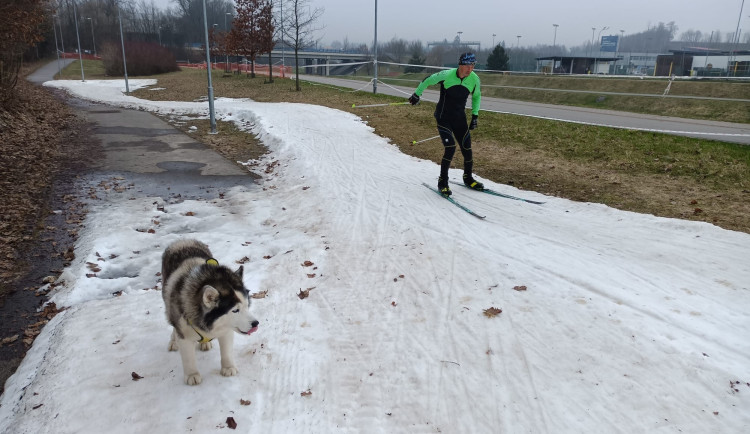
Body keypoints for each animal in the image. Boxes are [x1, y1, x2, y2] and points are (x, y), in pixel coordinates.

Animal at [161, 239, 258, 384]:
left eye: (247, 305)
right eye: (235, 310)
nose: (256, 323)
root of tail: (183, 240)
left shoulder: (226, 330)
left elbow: (226, 351)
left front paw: (228, 367)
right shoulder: (184, 332)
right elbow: (188, 357)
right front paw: (192, 374)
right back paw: (173, 341)